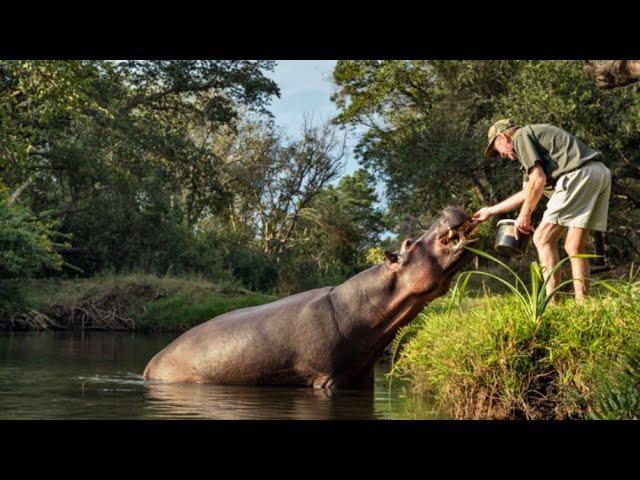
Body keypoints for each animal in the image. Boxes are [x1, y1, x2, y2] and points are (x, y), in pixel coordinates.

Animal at [144, 206, 476, 390]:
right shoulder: (327, 378)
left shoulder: (361, 377)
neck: (368, 304)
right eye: (408, 243)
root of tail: (149, 366)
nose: (445, 211)